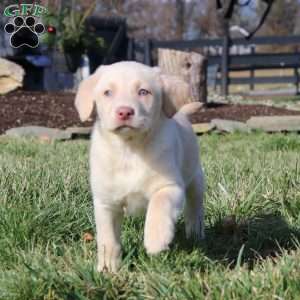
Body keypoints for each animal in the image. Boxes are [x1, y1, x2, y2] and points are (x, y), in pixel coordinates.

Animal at [75, 61, 206, 272]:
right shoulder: (106, 202)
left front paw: (156, 239)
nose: (124, 112)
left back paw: (195, 231)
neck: (129, 150)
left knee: (195, 206)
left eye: (144, 92)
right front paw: (107, 268)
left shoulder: (170, 186)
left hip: (195, 177)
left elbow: (159, 203)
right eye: (107, 92)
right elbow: (107, 238)